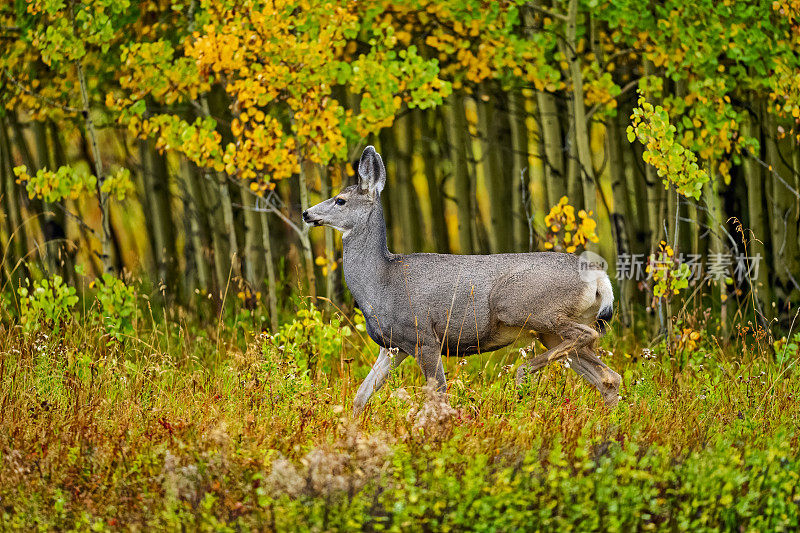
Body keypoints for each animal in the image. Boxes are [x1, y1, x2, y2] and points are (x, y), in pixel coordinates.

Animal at [304, 147, 620, 416]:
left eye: (340, 200)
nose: (307, 213)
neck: (380, 281)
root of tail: (600, 278)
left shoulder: (423, 336)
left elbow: (439, 395)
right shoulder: (392, 346)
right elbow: (361, 395)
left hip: (523, 307)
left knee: (586, 339)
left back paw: (521, 373)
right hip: (549, 331)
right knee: (609, 377)